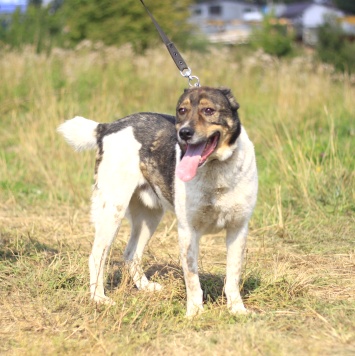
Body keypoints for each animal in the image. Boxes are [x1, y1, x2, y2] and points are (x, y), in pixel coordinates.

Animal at [57, 87, 258, 318]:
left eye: (208, 110)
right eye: (182, 110)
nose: (184, 133)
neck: (215, 169)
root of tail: (106, 127)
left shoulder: (238, 228)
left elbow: (233, 275)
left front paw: (237, 309)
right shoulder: (188, 231)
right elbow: (192, 279)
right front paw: (195, 312)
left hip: (150, 217)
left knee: (131, 254)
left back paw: (144, 287)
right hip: (112, 211)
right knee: (97, 255)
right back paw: (99, 298)